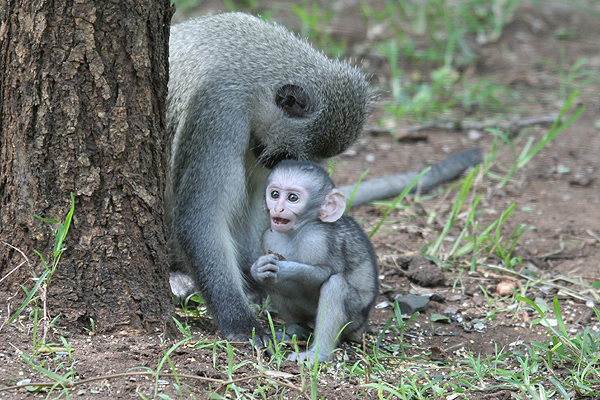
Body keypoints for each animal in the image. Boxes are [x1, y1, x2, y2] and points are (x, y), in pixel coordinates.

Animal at [251, 159, 378, 362]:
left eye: (292, 198)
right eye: (275, 194)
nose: (278, 209)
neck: (297, 230)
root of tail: (362, 327)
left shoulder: (318, 238)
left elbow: (325, 273)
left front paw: (287, 269)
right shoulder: (268, 238)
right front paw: (257, 269)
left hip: (355, 318)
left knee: (336, 285)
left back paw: (319, 352)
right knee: (271, 283)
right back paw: (295, 329)